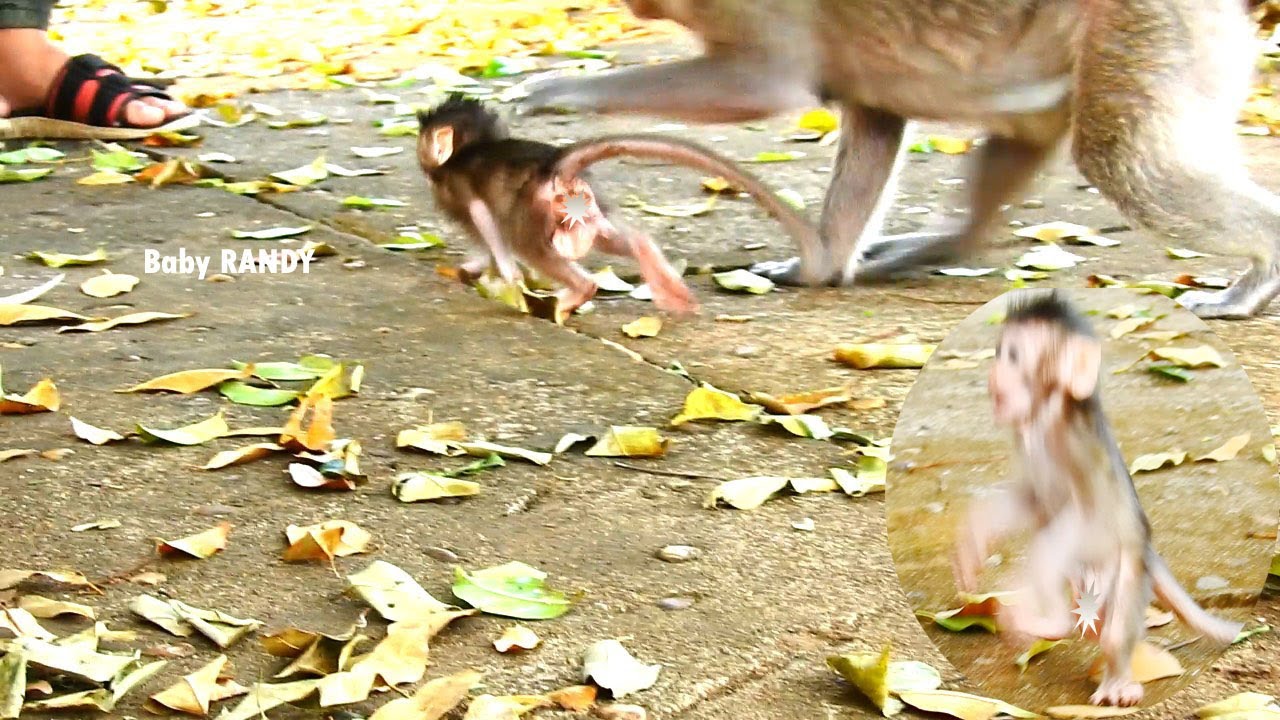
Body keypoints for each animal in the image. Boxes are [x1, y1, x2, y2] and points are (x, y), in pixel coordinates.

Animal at [414, 95, 823, 322]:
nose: (423, 157)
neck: (468, 148)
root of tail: (556, 167)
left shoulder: (458, 193)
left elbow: (486, 227)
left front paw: (497, 277)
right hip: (586, 213)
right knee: (621, 239)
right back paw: (668, 284)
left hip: (533, 216)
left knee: (532, 248)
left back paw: (572, 297)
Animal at [517, 0, 1280, 319]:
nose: (636, 5)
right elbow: (875, 116)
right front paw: (820, 265)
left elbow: (762, 84)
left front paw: (561, 92)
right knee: (1024, 132)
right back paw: (939, 244)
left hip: (1147, 28)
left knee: (1120, 154)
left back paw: (1256, 275)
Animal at [950, 289, 1243, 707]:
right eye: (999, 352)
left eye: (1014, 356)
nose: (994, 374)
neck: (1043, 415)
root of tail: (1147, 550)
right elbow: (1033, 502)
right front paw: (975, 535)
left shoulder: (1074, 443)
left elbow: (1080, 519)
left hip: (1129, 571)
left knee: (1113, 629)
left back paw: (1111, 674)